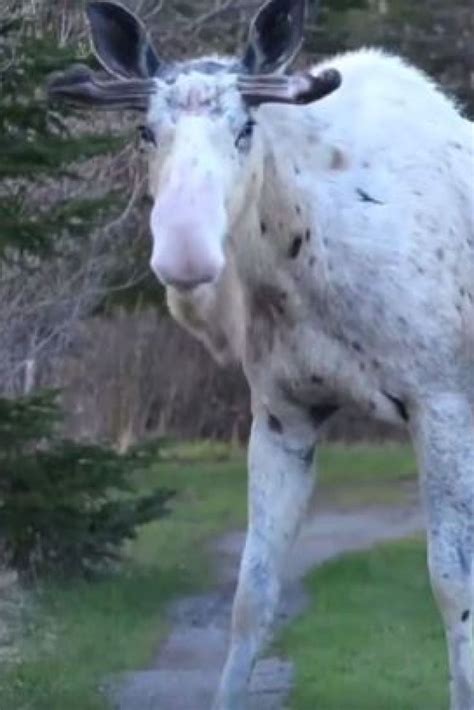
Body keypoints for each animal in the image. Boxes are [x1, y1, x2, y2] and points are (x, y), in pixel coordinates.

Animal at [49, 1, 474, 710]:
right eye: (144, 130)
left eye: (246, 127)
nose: (185, 251)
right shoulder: (282, 414)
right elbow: (252, 596)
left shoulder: (442, 403)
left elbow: (452, 587)